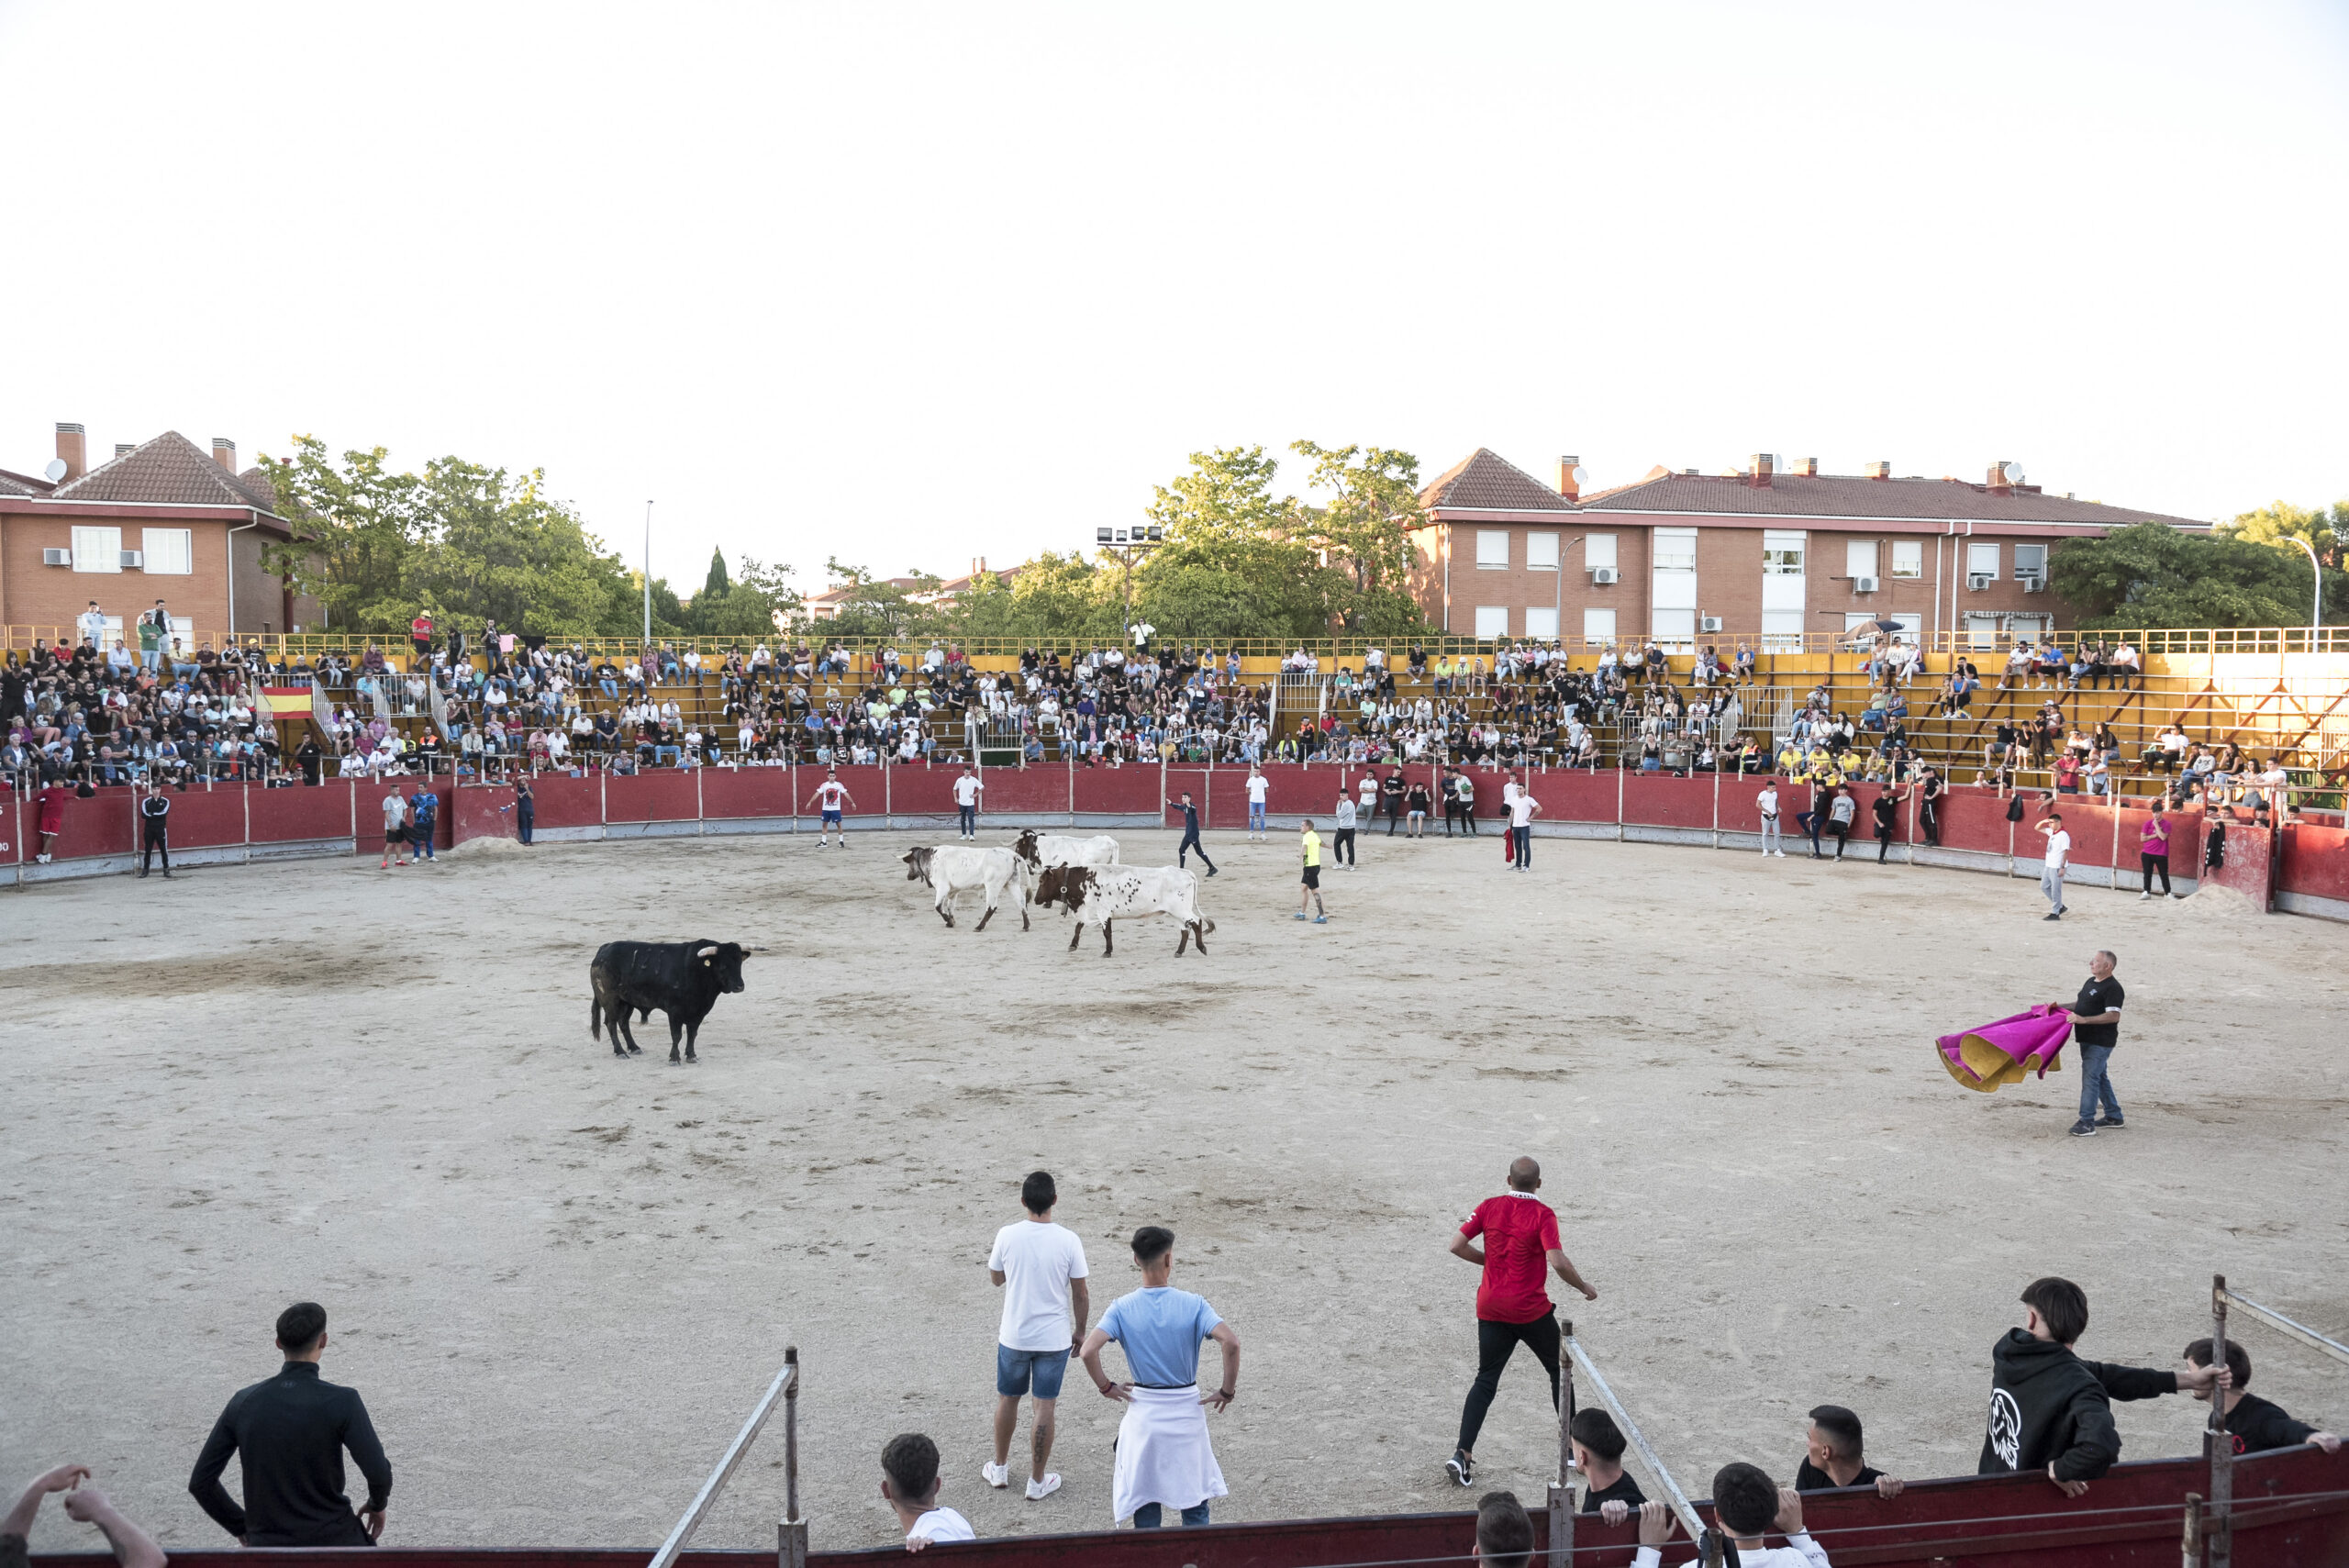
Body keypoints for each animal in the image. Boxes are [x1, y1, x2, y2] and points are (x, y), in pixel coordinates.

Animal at [596, 943, 751, 1065]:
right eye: (723, 966)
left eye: (739, 963)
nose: (740, 986)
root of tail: (604, 949)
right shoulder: (674, 1012)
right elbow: (677, 1035)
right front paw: (674, 1059)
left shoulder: (699, 1012)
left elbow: (692, 1034)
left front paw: (691, 1056)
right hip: (611, 1000)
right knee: (611, 1023)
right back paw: (620, 1052)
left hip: (627, 1002)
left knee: (623, 1022)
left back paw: (634, 1048)